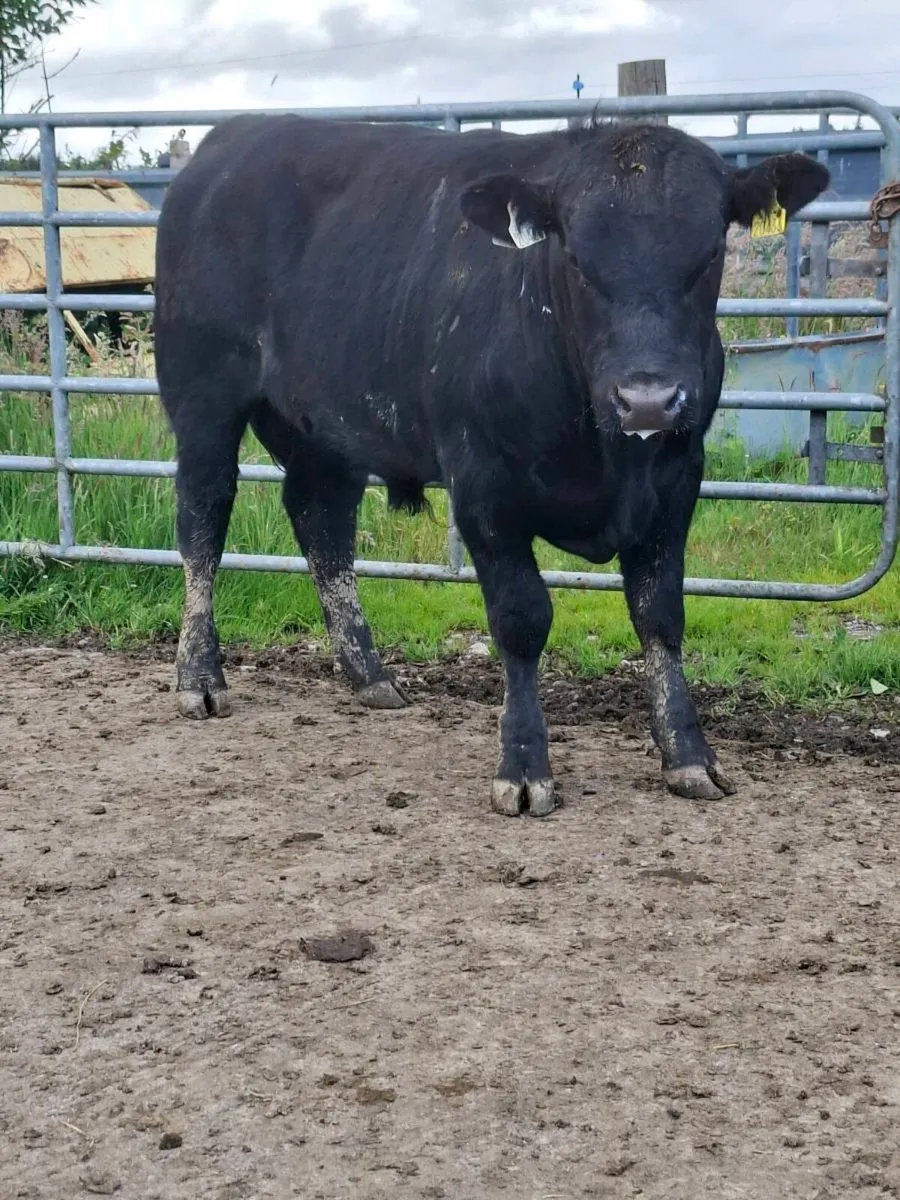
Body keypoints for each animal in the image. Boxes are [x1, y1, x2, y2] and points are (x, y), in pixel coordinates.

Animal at [154, 112, 829, 817]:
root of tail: (232, 137)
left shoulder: (676, 478)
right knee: (202, 522)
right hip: (203, 401)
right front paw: (525, 765)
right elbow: (522, 619)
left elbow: (660, 614)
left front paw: (688, 754)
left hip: (325, 428)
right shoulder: (482, 484)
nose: (647, 399)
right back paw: (199, 676)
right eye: (577, 259)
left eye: (708, 256)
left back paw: (370, 674)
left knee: (322, 525)